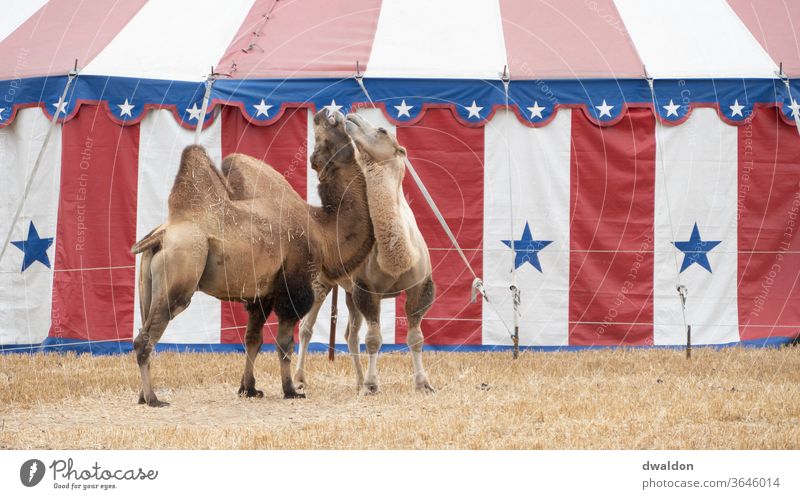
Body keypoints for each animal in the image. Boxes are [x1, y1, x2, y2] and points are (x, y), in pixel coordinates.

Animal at [130, 110, 374, 406]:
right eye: (339, 128)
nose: (328, 113)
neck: (321, 229)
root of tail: (161, 236)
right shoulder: (293, 289)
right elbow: (284, 343)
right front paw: (291, 389)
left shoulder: (262, 294)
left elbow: (253, 339)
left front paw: (249, 388)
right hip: (180, 273)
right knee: (145, 338)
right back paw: (154, 398)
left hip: (147, 285)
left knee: (143, 327)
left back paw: (143, 396)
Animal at [294, 113, 434, 394]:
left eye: (382, 130)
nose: (351, 116)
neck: (400, 256)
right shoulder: (368, 289)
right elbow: (374, 339)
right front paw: (372, 384)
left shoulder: (419, 286)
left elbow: (415, 337)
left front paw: (423, 383)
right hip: (323, 280)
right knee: (306, 327)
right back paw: (300, 379)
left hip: (348, 291)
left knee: (350, 334)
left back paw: (357, 380)